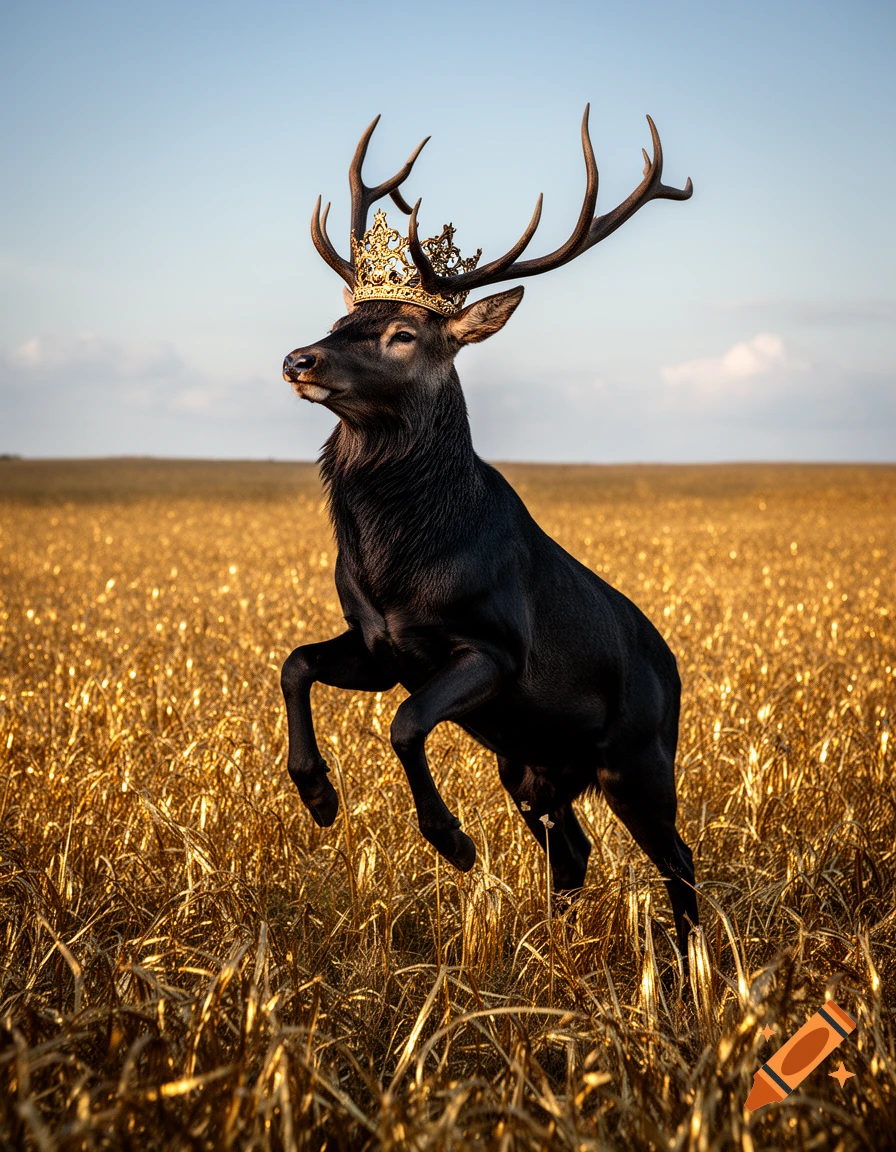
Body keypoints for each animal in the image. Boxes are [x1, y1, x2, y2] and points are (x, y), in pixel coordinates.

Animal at [281, 107, 699, 962]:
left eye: (404, 334)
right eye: (342, 320)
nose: (299, 357)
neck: (397, 560)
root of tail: (675, 672)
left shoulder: (495, 650)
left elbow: (406, 724)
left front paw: (451, 840)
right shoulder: (380, 647)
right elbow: (296, 662)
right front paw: (318, 795)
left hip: (639, 757)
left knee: (681, 859)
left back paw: (695, 969)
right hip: (533, 765)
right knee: (573, 850)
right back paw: (552, 956)